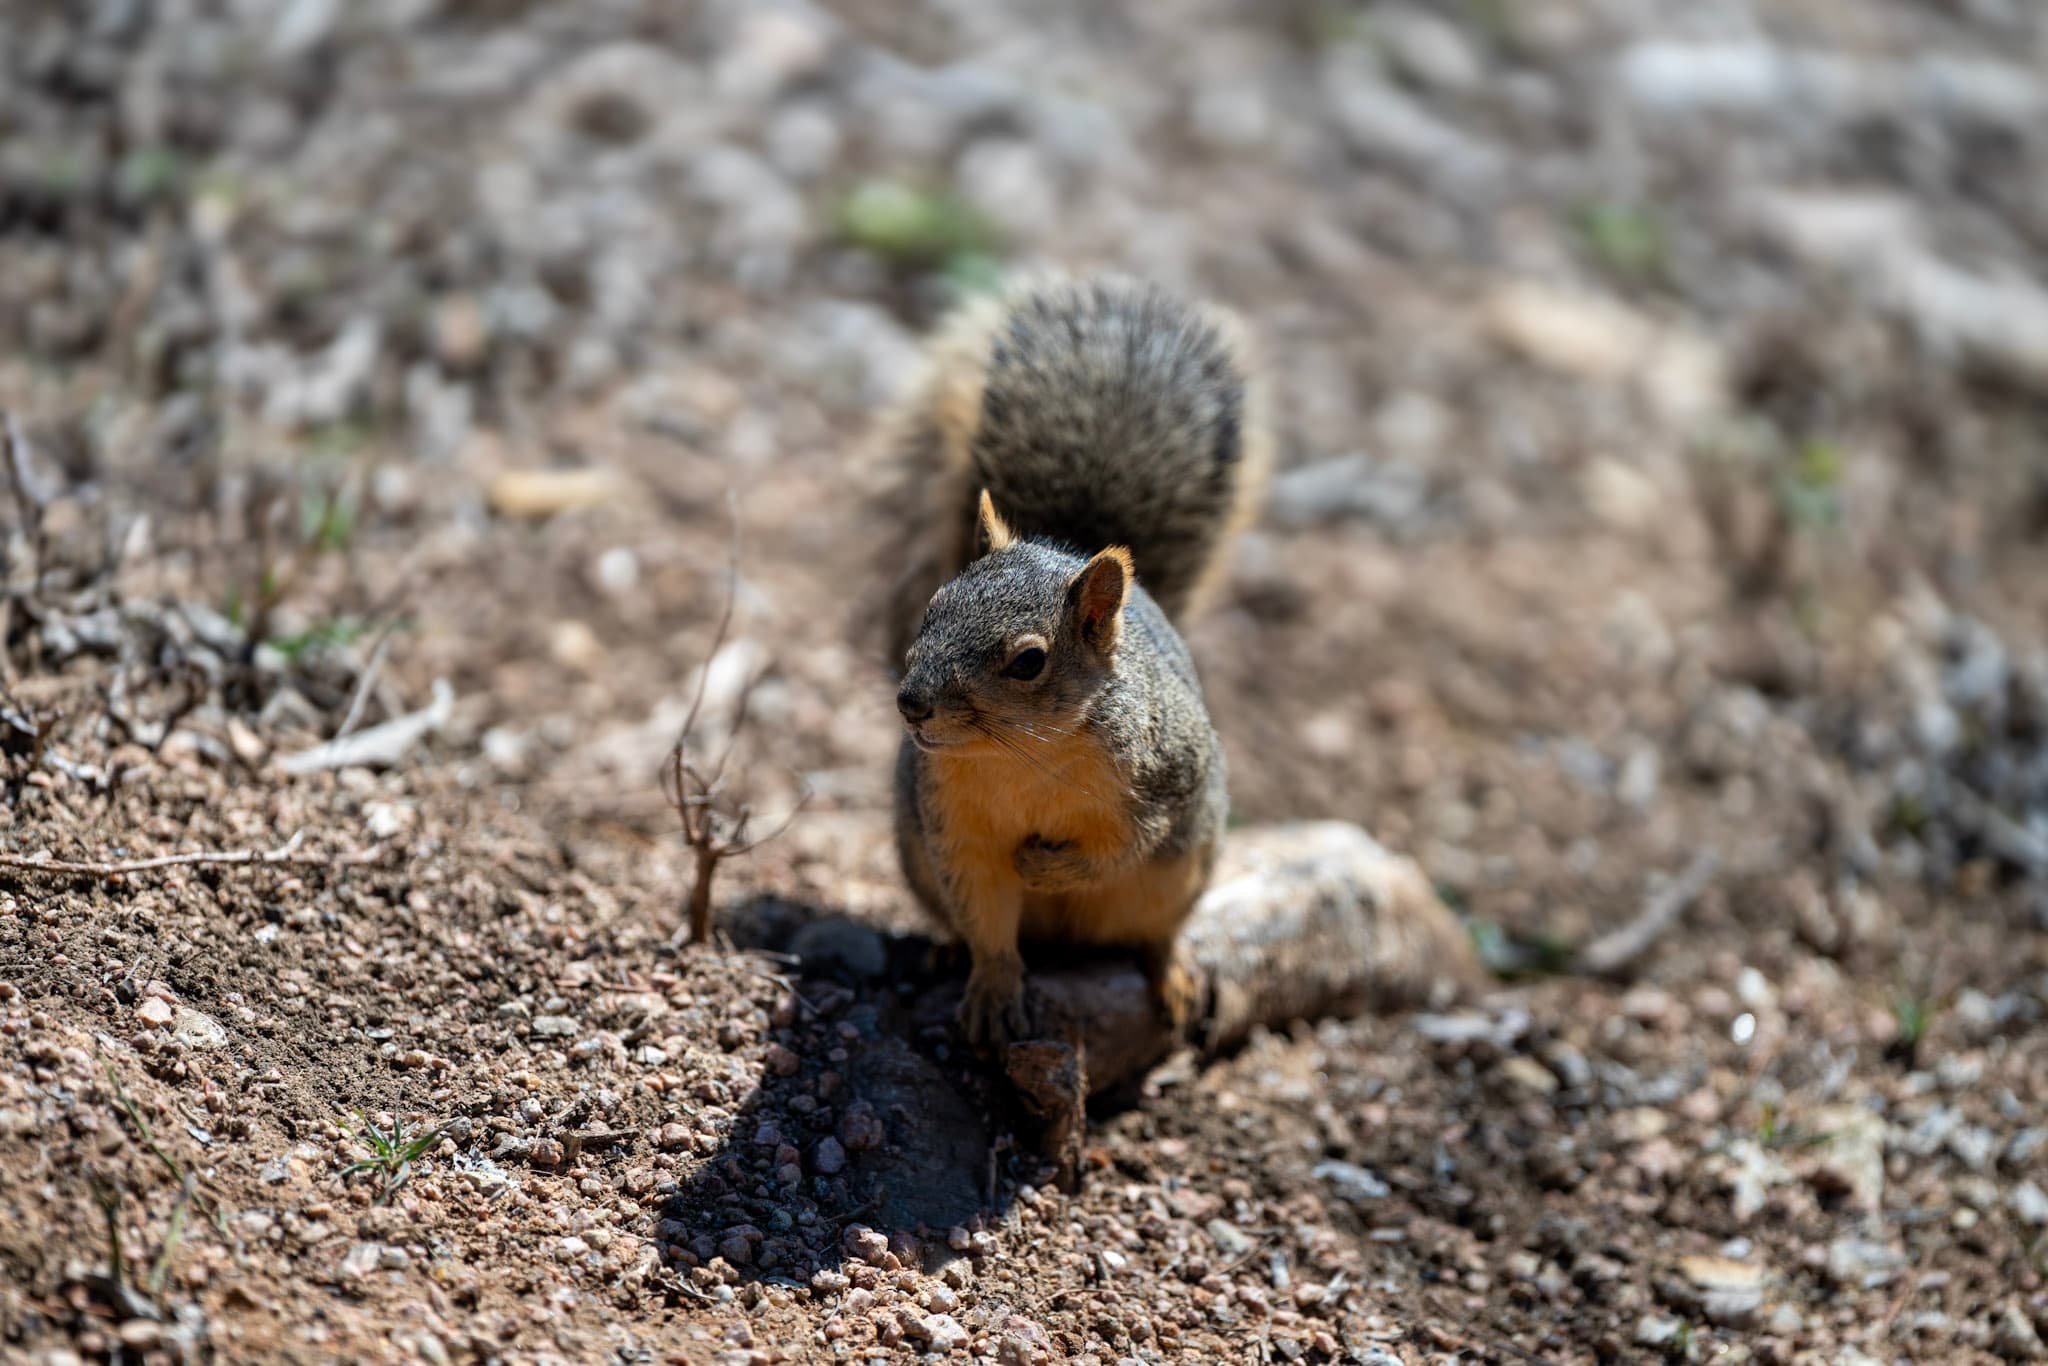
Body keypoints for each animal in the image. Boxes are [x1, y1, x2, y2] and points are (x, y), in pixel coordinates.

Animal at [873, 274, 1271, 1046]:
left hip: (1184, 875)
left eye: (1029, 661)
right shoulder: (952, 827)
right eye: (933, 604)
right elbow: (987, 912)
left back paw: (1171, 975)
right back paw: (947, 950)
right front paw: (994, 990)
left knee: (1155, 933)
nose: (912, 704)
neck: (1025, 755)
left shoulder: (1163, 781)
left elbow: (1125, 846)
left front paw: (1044, 864)